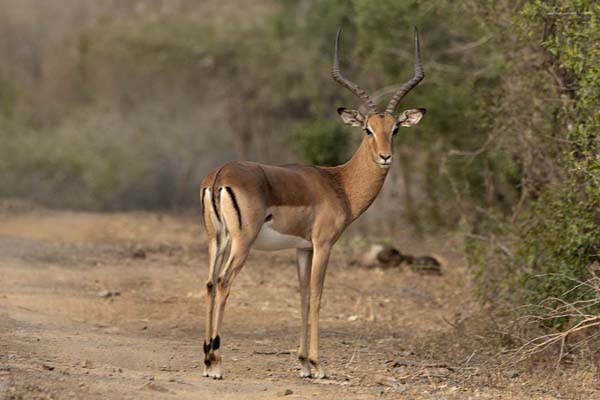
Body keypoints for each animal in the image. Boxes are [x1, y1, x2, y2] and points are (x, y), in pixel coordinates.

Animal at [199, 27, 424, 378]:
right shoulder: (323, 244)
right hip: (241, 242)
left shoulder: (302, 248)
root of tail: (221, 174)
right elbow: (317, 296)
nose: (386, 157)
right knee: (223, 283)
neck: (338, 183)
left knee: (210, 282)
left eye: (396, 129)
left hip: (217, 239)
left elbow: (303, 296)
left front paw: (303, 362)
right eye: (368, 129)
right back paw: (217, 363)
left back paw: (208, 360)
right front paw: (317, 365)